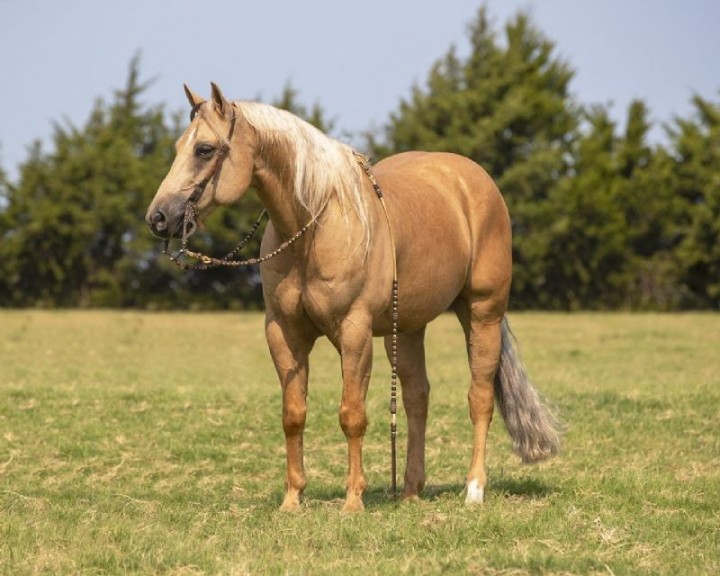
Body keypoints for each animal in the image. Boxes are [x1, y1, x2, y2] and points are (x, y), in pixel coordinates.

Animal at [146, 83, 561, 512]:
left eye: (205, 149)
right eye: (179, 146)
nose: (158, 217)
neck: (315, 229)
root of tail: (473, 179)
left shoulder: (354, 332)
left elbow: (352, 414)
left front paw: (352, 501)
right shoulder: (284, 333)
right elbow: (293, 414)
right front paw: (292, 500)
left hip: (482, 312)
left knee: (479, 397)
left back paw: (474, 490)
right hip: (406, 328)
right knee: (416, 397)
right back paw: (410, 491)